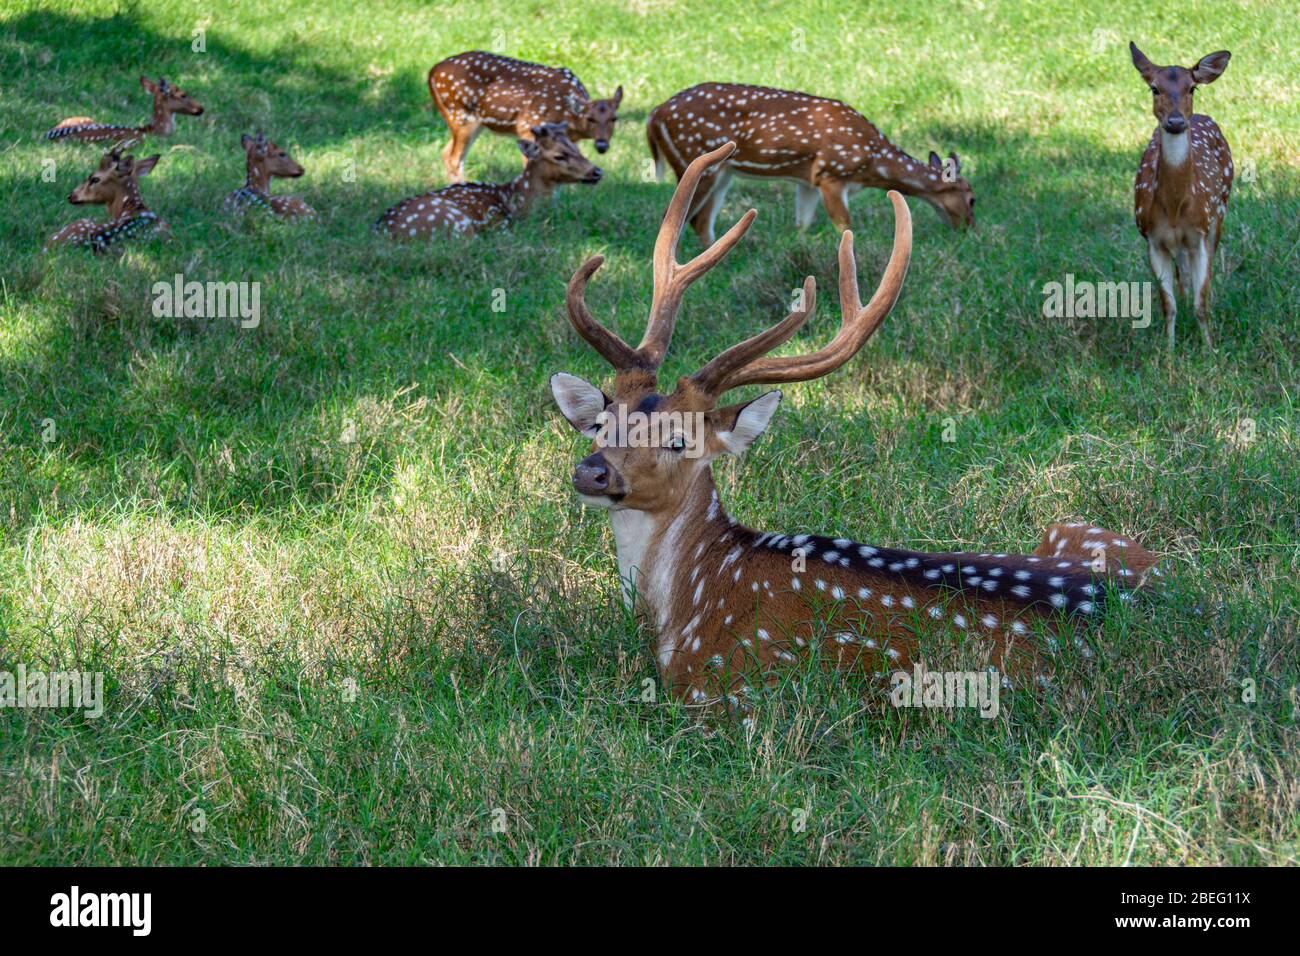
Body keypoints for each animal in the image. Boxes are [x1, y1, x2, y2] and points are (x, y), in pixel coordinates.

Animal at [374, 122, 601, 239]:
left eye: (577, 148)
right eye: (559, 155)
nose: (597, 171)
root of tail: (383, 231)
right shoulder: (502, 227)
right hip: (456, 222)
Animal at [429, 51, 622, 183]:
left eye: (614, 118)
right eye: (590, 118)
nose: (602, 145)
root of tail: (433, 71)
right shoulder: (527, 125)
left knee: (446, 153)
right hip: (461, 115)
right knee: (454, 158)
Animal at [550, 142, 1158, 714]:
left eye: (679, 440)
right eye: (600, 423)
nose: (593, 472)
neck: (690, 602)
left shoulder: (731, 692)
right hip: (1074, 527)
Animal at [646, 83, 975, 245]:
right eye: (972, 198)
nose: (969, 230)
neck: (873, 162)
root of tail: (655, 114)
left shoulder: (808, 181)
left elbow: (802, 224)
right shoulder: (832, 174)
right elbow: (845, 226)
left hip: (723, 172)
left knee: (701, 221)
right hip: (695, 158)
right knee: (673, 218)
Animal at [1130, 42, 1233, 350]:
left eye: (1192, 88)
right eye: (1154, 88)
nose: (1175, 122)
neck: (1175, 208)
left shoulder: (1199, 233)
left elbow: (1201, 301)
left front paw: (1209, 349)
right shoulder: (1153, 239)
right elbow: (1168, 304)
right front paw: (1169, 351)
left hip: (1219, 211)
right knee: (1182, 276)